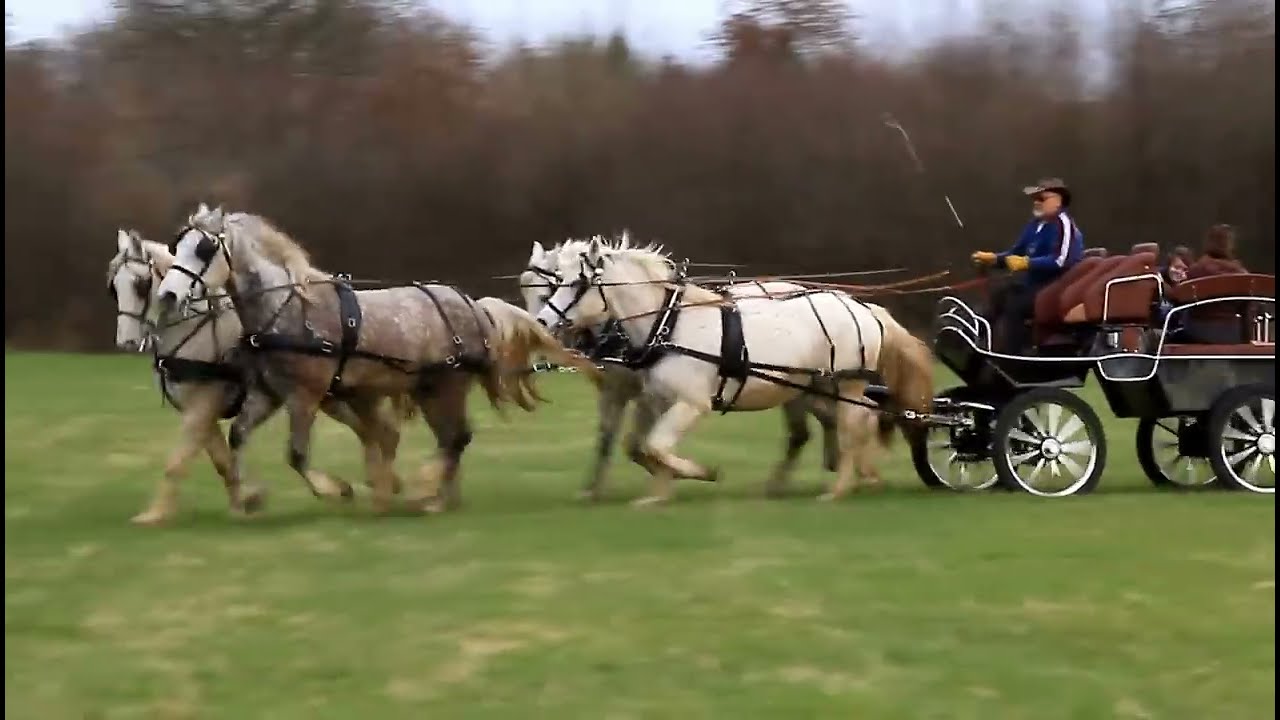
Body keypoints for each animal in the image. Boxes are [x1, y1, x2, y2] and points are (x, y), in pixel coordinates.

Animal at [110, 224, 412, 520]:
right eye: (113, 287)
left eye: (140, 284)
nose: (126, 342)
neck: (196, 331)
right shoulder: (200, 411)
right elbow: (223, 462)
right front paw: (242, 504)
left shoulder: (204, 405)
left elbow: (178, 460)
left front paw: (154, 514)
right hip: (335, 397)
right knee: (373, 431)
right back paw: (384, 483)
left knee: (376, 431)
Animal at [535, 237, 936, 504]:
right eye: (555, 280)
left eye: (578, 282)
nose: (541, 321)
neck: (668, 324)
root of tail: (864, 307)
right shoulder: (657, 399)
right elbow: (648, 447)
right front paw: (659, 493)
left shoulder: (692, 403)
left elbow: (656, 445)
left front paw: (701, 473)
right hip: (811, 387)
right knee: (837, 426)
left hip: (847, 383)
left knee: (854, 425)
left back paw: (839, 489)